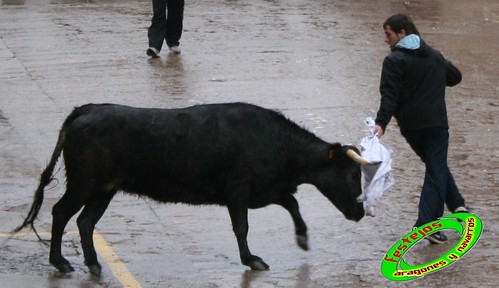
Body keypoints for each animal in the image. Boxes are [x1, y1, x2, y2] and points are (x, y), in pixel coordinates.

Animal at [13, 103, 374, 274]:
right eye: (351, 175)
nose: (360, 212)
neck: (274, 141)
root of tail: (86, 110)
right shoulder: (238, 191)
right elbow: (242, 226)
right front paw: (252, 259)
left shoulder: (263, 191)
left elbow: (291, 203)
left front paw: (302, 238)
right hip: (85, 183)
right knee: (61, 212)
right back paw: (61, 262)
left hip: (105, 188)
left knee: (86, 221)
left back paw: (93, 263)